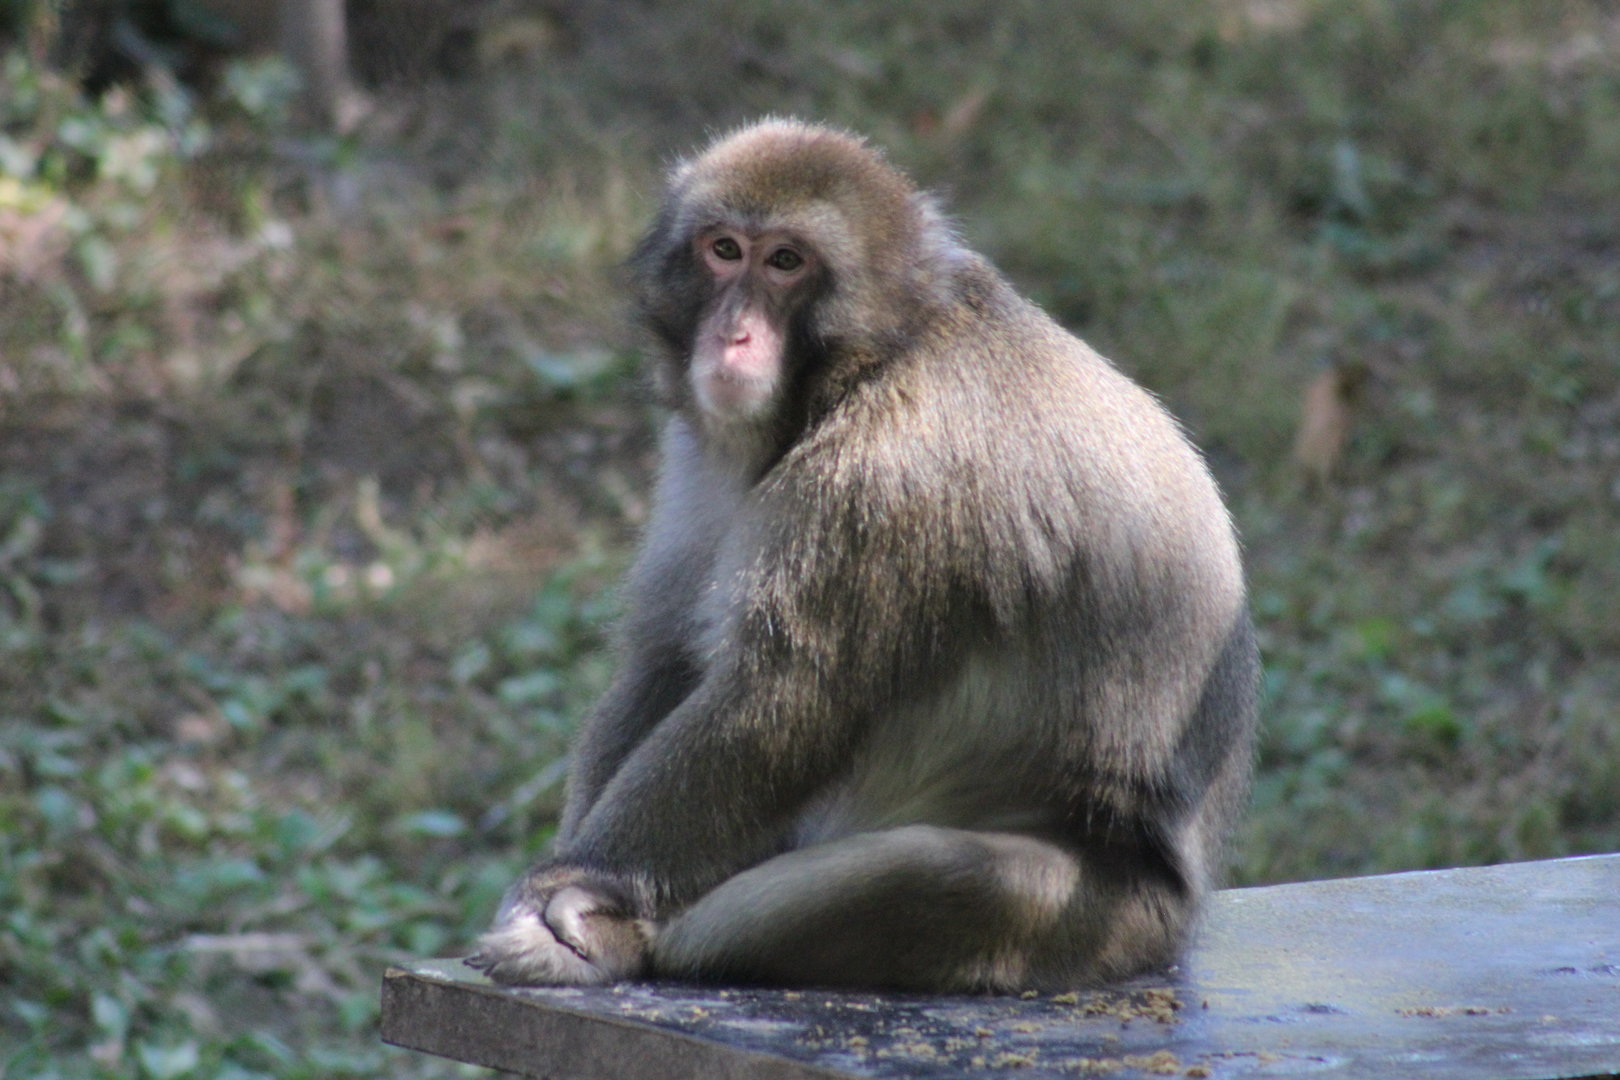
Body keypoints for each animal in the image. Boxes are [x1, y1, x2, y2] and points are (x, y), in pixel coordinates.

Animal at [465, 119, 1258, 994]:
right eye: (724, 250)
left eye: (787, 262)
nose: (734, 334)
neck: (870, 363)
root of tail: (1179, 919)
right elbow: (667, 654)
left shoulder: (889, 478)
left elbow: (783, 698)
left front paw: (581, 887)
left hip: (1100, 919)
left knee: (943, 876)